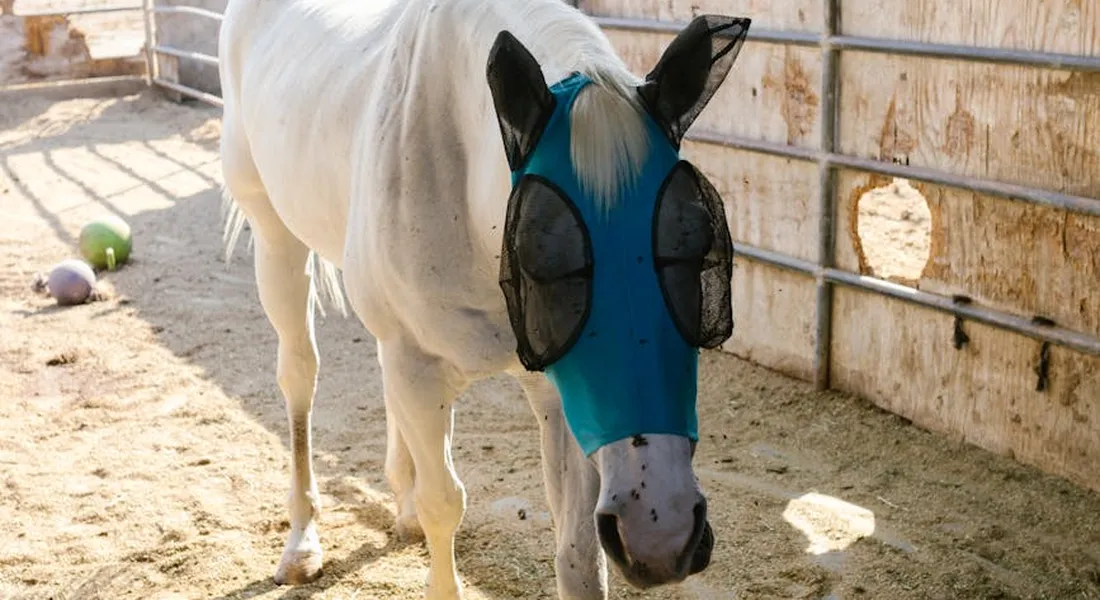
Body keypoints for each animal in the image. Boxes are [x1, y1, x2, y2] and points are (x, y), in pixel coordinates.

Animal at [217, 0, 750, 597]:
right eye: (542, 251)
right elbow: (444, 503)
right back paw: (302, 543)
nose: (661, 530)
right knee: (299, 377)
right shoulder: (421, 372)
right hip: (274, 237)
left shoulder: (560, 397)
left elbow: (578, 554)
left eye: (697, 241)